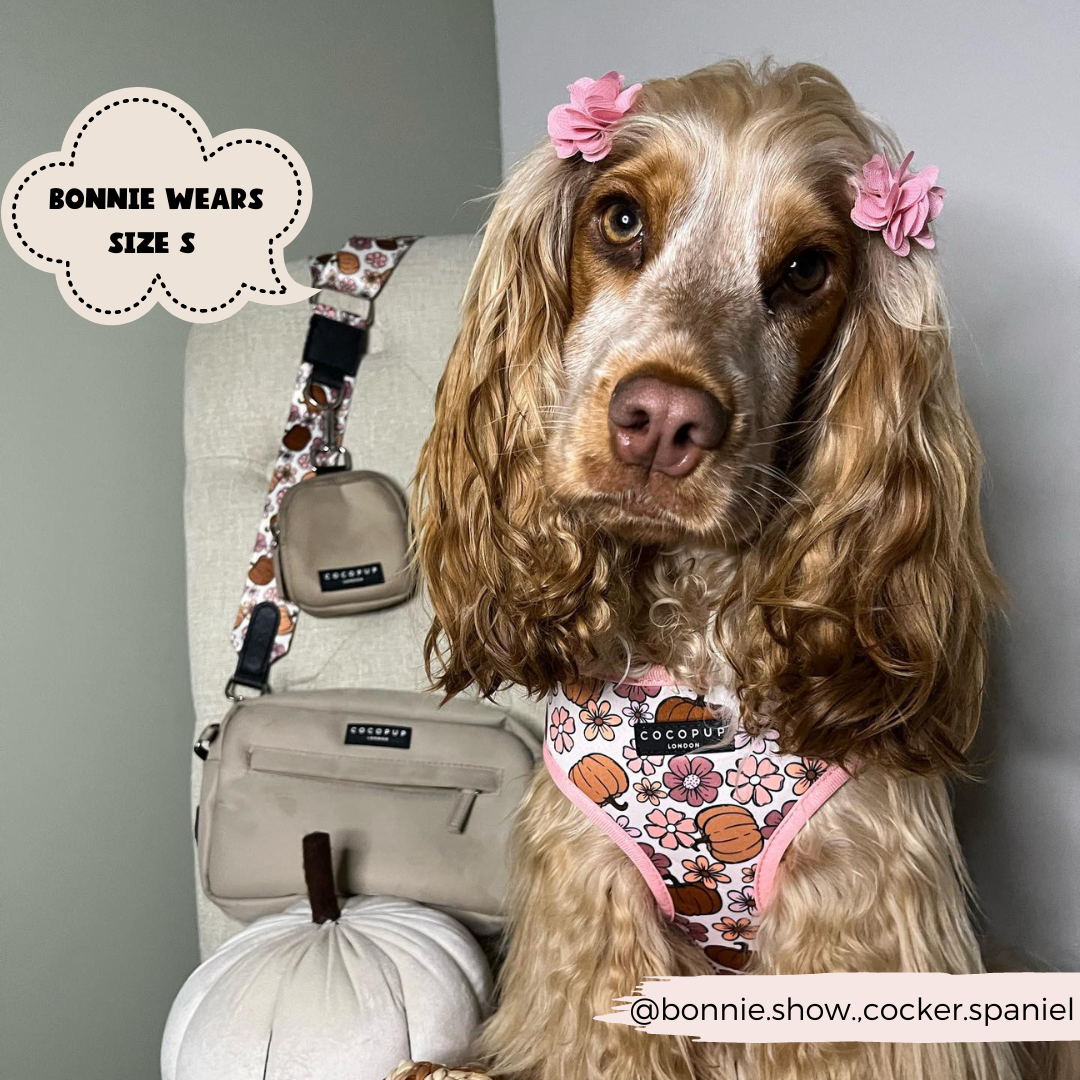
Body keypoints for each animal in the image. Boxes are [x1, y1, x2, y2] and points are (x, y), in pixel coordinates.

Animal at [408, 56, 1032, 1080]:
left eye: (806, 267)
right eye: (620, 218)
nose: (663, 422)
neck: (698, 661)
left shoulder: (857, 921)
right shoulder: (596, 924)